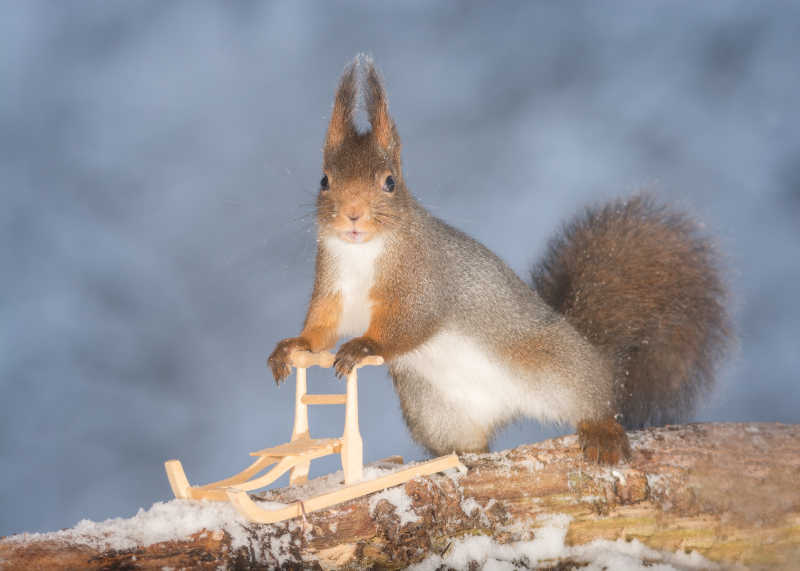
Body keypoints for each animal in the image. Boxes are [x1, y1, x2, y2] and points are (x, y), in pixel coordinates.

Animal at [268, 55, 732, 464]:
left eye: (390, 182)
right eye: (325, 180)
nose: (352, 215)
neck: (363, 252)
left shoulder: (425, 278)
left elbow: (411, 322)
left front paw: (365, 346)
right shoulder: (333, 286)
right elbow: (322, 327)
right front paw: (292, 347)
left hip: (559, 367)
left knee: (596, 400)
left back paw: (601, 429)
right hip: (434, 411)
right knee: (465, 442)